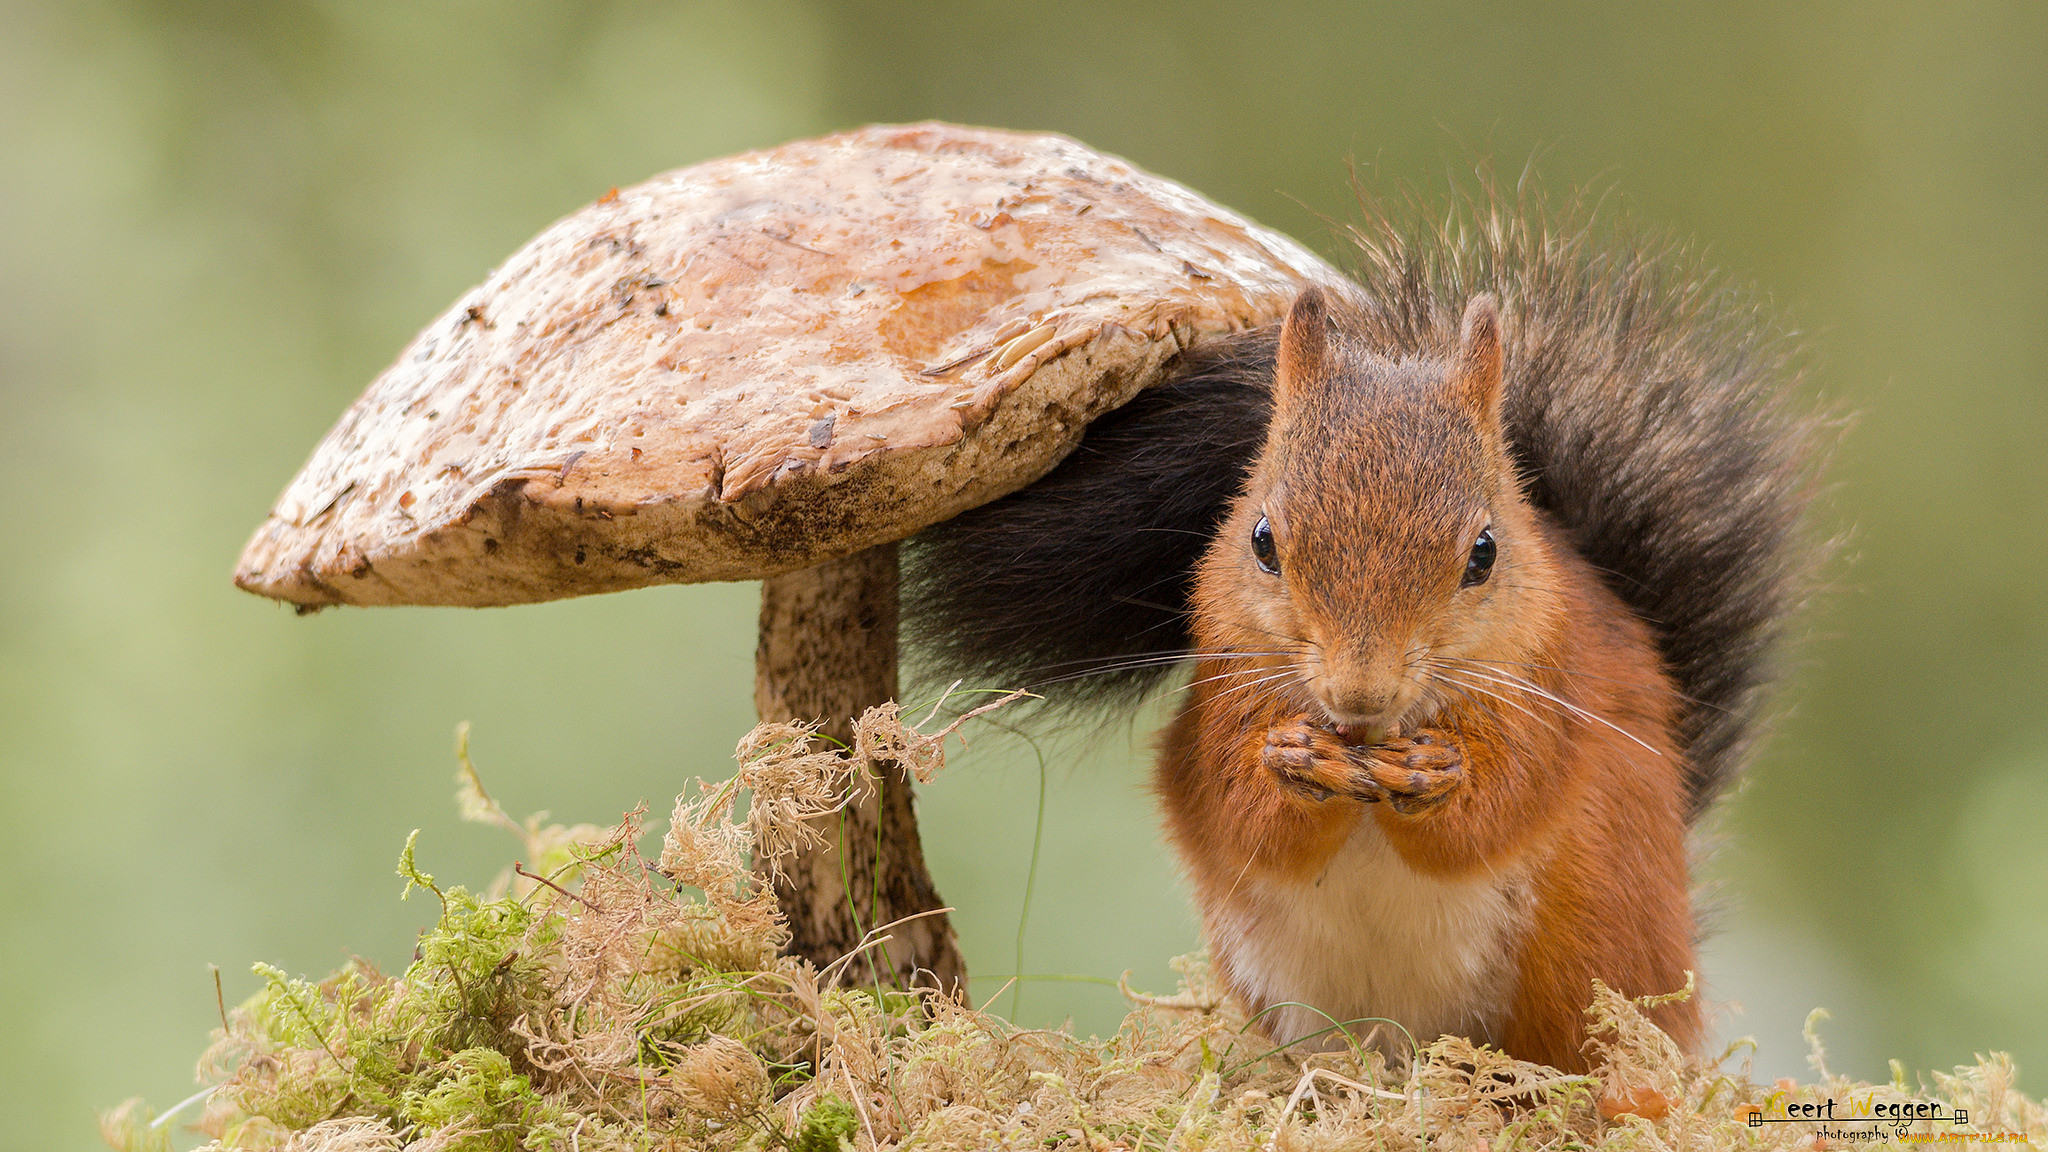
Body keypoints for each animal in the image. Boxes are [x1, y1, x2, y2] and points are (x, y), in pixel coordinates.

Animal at [901, 196, 1826, 1065]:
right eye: (1261, 540)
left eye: (1485, 553)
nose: (1360, 693)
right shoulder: (1221, 696)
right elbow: (1236, 807)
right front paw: (1289, 761)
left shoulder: (1553, 697)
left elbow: (1505, 800)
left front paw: (1438, 773)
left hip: (1594, 951)